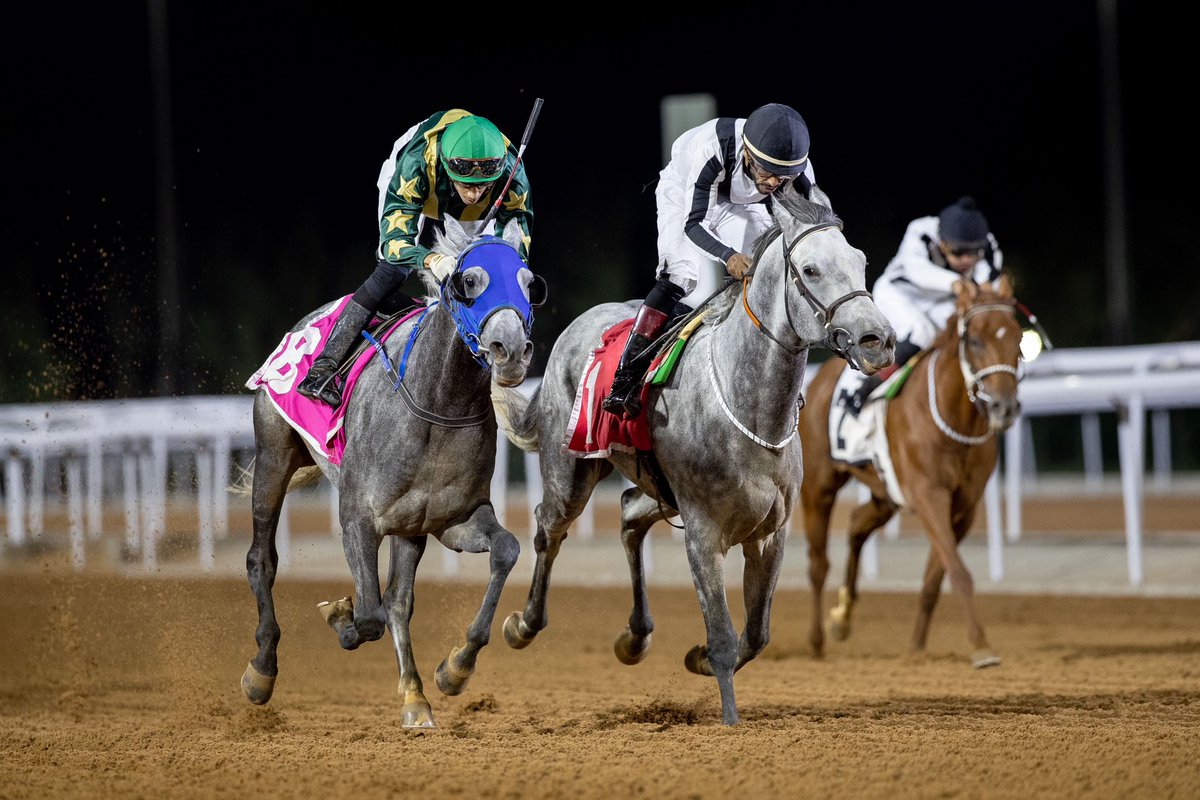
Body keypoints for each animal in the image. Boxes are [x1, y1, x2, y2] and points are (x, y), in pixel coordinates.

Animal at [238, 217, 546, 729]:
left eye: (529, 284)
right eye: (468, 282)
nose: (511, 351)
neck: (439, 405)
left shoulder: (451, 519)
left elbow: (505, 550)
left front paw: (455, 668)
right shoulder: (358, 520)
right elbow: (367, 616)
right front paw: (339, 616)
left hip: (410, 526)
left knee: (400, 601)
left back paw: (416, 697)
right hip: (273, 455)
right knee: (262, 558)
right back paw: (262, 670)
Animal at [491, 184, 896, 725]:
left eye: (860, 261)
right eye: (810, 270)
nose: (878, 341)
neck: (749, 410)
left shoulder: (770, 533)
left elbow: (757, 634)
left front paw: (698, 658)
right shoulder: (704, 533)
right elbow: (724, 636)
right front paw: (728, 718)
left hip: (658, 488)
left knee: (628, 515)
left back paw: (635, 635)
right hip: (570, 472)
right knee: (547, 529)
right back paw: (521, 626)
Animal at [798, 275, 1022, 668]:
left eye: (1018, 338)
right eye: (975, 340)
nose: (1004, 407)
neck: (952, 417)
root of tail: (821, 377)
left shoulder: (962, 507)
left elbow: (936, 578)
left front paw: (916, 648)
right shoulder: (929, 496)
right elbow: (959, 572)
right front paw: (981, 646)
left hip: (884, 492)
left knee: (857, 525)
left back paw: (843, 616)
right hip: (819, 485)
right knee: (818, 563)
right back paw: (816, 641)